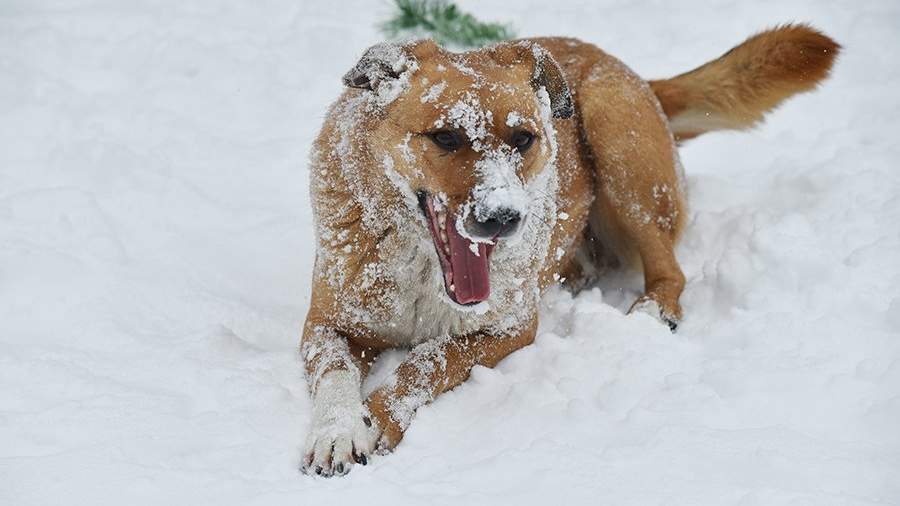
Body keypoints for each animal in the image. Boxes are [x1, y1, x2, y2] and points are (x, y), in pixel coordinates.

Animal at [300, 23, 836, 476]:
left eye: (523, 138)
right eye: (445, 137)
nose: (503, 219)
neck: (423, 269)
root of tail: (638, 76)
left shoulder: (509, 326)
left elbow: (424, 363)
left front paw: (375, 419)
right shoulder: (327, 324)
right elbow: (334, 372)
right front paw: (339, 430)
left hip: (613, 130)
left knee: (671, 268)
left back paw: (652, 309)